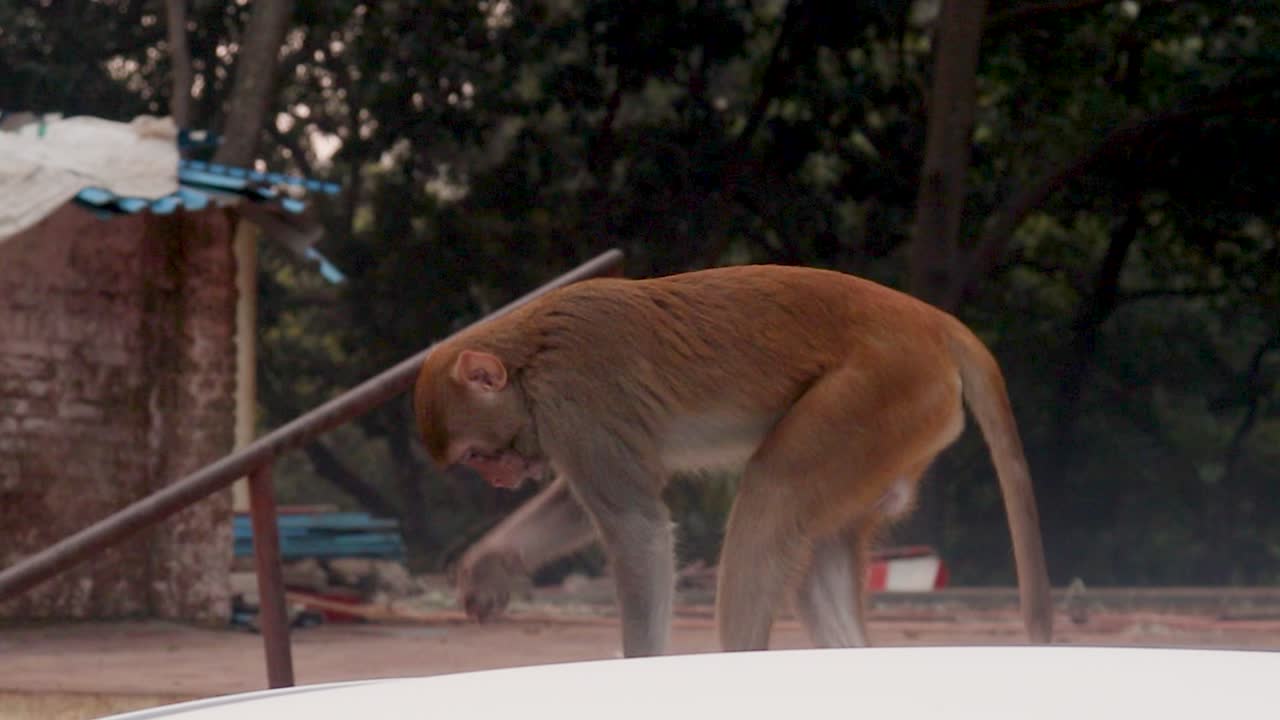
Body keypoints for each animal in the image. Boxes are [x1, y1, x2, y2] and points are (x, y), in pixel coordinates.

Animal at [413, 264, 1053, 657]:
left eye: (478, 454)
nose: (500, 479)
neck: (530, 355)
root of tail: (928, 318)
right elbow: (586, 501)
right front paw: (491, 565)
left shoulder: (574, 402)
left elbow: (638, 527)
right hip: (896, 428)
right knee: (811, 548)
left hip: (881, 393)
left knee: (773, 496)